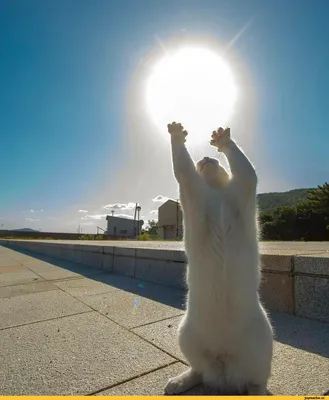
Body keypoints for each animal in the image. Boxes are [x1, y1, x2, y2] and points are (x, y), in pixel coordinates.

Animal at [165, 122, 272, 396]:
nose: (205, 157)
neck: (216, 191)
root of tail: (224, 371)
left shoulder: (242, 186)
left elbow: (246, 169)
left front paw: (222, 139)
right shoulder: (193, 191)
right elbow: (183, 168)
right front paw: (177, 134)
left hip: (262, 343)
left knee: (257, 381)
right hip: (187, 334)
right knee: (199, 369)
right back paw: (179, 381)